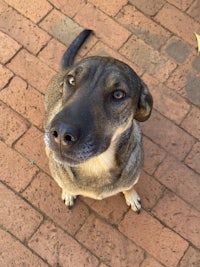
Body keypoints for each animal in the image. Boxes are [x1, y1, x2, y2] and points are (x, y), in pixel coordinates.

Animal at [44, 29, 153, 214]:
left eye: (118, 94)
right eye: (71, 80)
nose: (61, 134)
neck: (97, 165)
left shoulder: (131, 178)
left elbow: (128, 187)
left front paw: (131, 196)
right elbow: (66, 185)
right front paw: (68, 192)